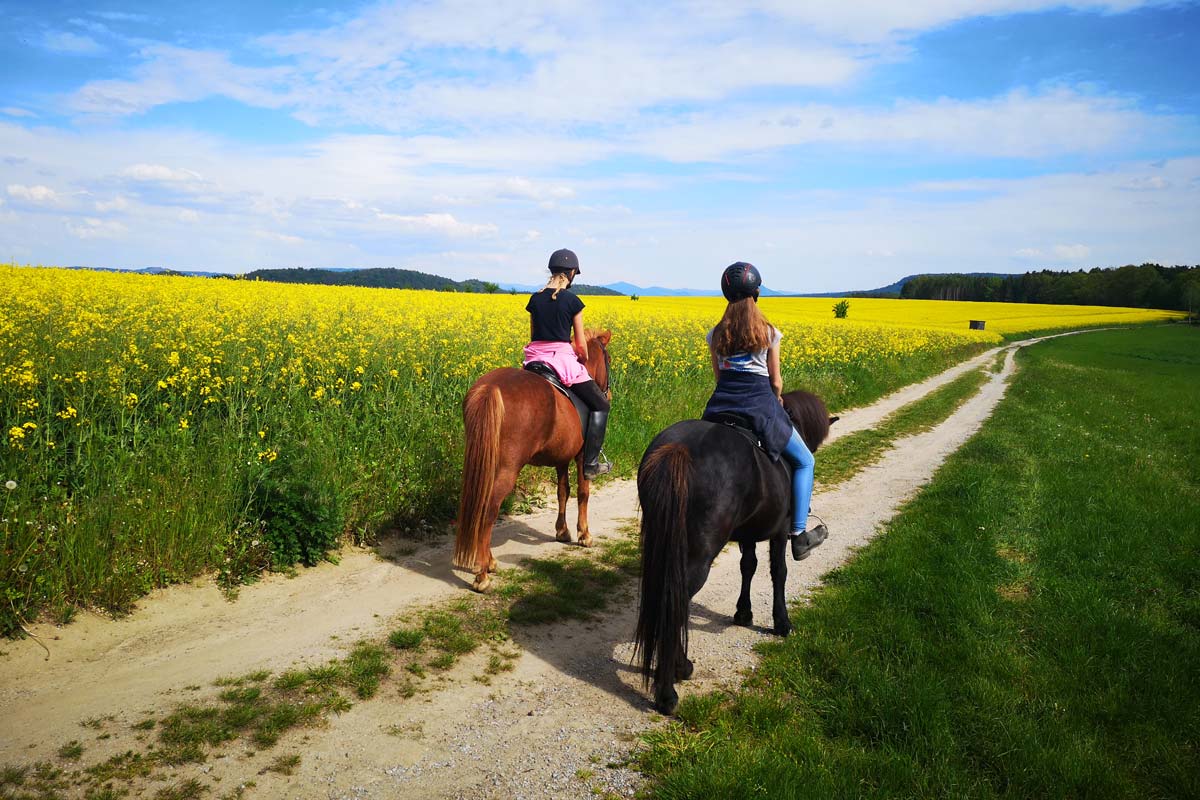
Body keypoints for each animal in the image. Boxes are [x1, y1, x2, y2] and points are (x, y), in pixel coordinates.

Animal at [453, 328, 614, 592]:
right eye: (608, 359)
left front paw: (562, 532)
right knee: (488, 510)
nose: (607, 394)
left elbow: (562, 491)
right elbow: (583, 492)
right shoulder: (581, 456)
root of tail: (489, 388)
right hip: (506, 469)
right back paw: (482, 574)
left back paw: (488, 562)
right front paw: (584, 535)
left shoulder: (561, 458)